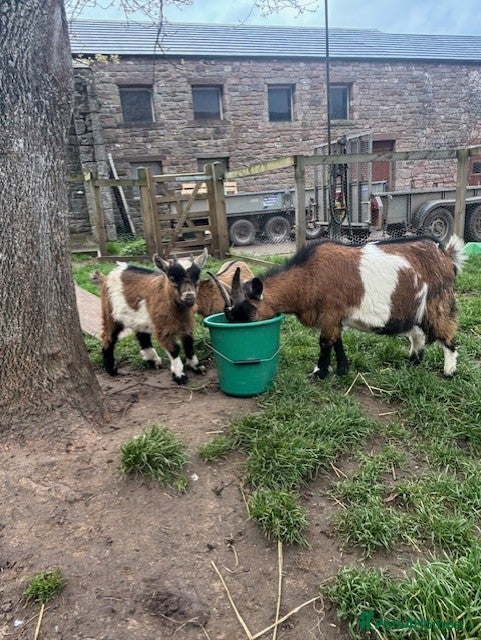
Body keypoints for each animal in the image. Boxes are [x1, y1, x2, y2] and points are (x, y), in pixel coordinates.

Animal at [94, 248, 208, 384]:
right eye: (172, 278)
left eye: (197, 277)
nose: (189, 296)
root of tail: (107, 277)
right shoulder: (163, 329)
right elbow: (174, 349)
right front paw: (179, 375)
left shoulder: (187, 324)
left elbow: (189, 343)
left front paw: (196, 366)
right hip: (110, 313)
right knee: (108, 337)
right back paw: (111, 369)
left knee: (141, 334)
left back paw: (153, 360)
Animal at [213, 236, 466, 378]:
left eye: (248, 311)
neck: (309, 276)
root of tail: (446, 255)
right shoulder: (335, 317)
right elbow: (337, 342)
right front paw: (343, 370)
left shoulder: (330, 312)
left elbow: (325, 342)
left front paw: (319, 373)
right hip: (412, 309)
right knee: (418, 334)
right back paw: (413, 362)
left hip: (438, 302)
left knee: (447, 334)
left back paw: (449, 372)